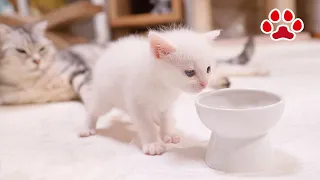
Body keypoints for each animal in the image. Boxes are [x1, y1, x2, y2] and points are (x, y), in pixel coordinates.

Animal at [79, 28, 220, 155]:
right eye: (190, 72)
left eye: (208, 69)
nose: (204, 83)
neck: (163, 85)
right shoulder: (136, 104)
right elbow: (146, 125)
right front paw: (153, 144)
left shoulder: (166, 103)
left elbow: (165, 118)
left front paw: (167, 133)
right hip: (105, 98)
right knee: (92, 108)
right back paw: (86, 128)